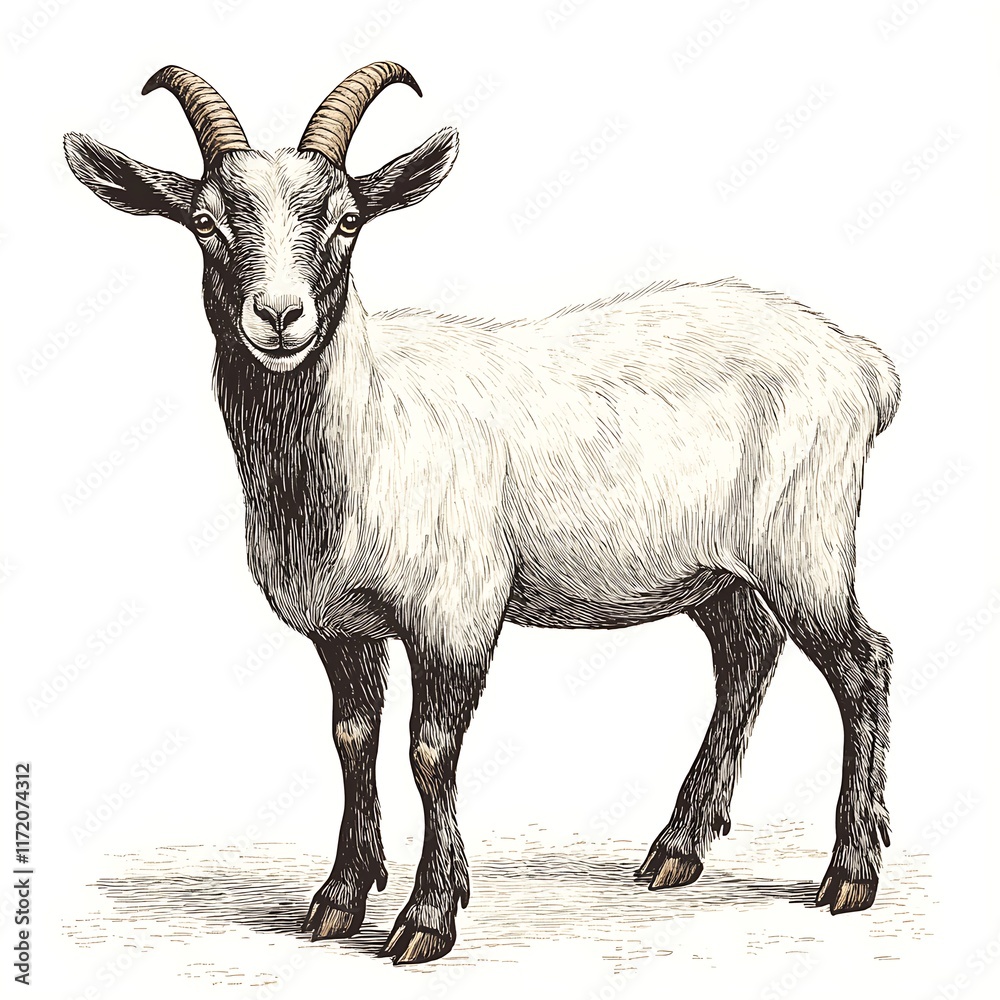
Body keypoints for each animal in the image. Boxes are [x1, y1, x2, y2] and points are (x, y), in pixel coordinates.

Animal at [65, 62, 900, 965]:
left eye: (348, 220)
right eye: (206, 222)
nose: (280, 316)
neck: (368, 429)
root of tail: (860, 362)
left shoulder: (455, 612)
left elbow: (430, 751)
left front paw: (427, 917)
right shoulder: (343, 627)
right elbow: (352, 739)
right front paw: (339, 897)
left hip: (805, 544)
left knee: (862, 665)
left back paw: (849, 873)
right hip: (714, 569)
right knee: (746, 656)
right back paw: (678, 849)